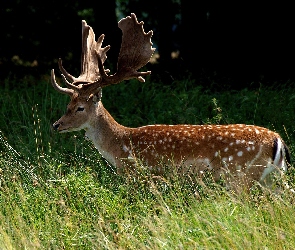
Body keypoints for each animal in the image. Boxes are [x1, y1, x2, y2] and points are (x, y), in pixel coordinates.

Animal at [51, 13, 292, 193]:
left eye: (80, 107)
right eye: (68, 104)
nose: (56, 125)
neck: (120, 145)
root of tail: (278, 140)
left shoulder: (142, 174)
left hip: (240, 174)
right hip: (273, 177)